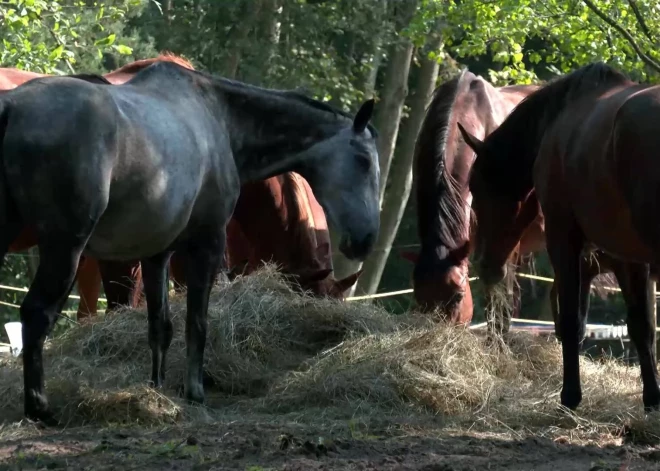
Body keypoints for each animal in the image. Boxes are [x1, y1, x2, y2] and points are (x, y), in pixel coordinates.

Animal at [0, 62, 382, 424]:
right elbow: (196, 322)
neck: (218, 118)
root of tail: (12, 107)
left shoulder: (157, 254)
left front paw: (156, 389)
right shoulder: (206, 245)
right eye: (363, 161)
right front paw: (194, 391)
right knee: (36, 314)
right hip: (65, 249)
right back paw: (39, 408)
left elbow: (160, 326)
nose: (365, 240)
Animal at [458, 60, 660, 412]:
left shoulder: (565, 240)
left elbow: (570, 321)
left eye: (478, 188)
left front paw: (570, 396)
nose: (487, 266)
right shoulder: (629, 257)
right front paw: (652, 399)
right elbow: (641, 326)